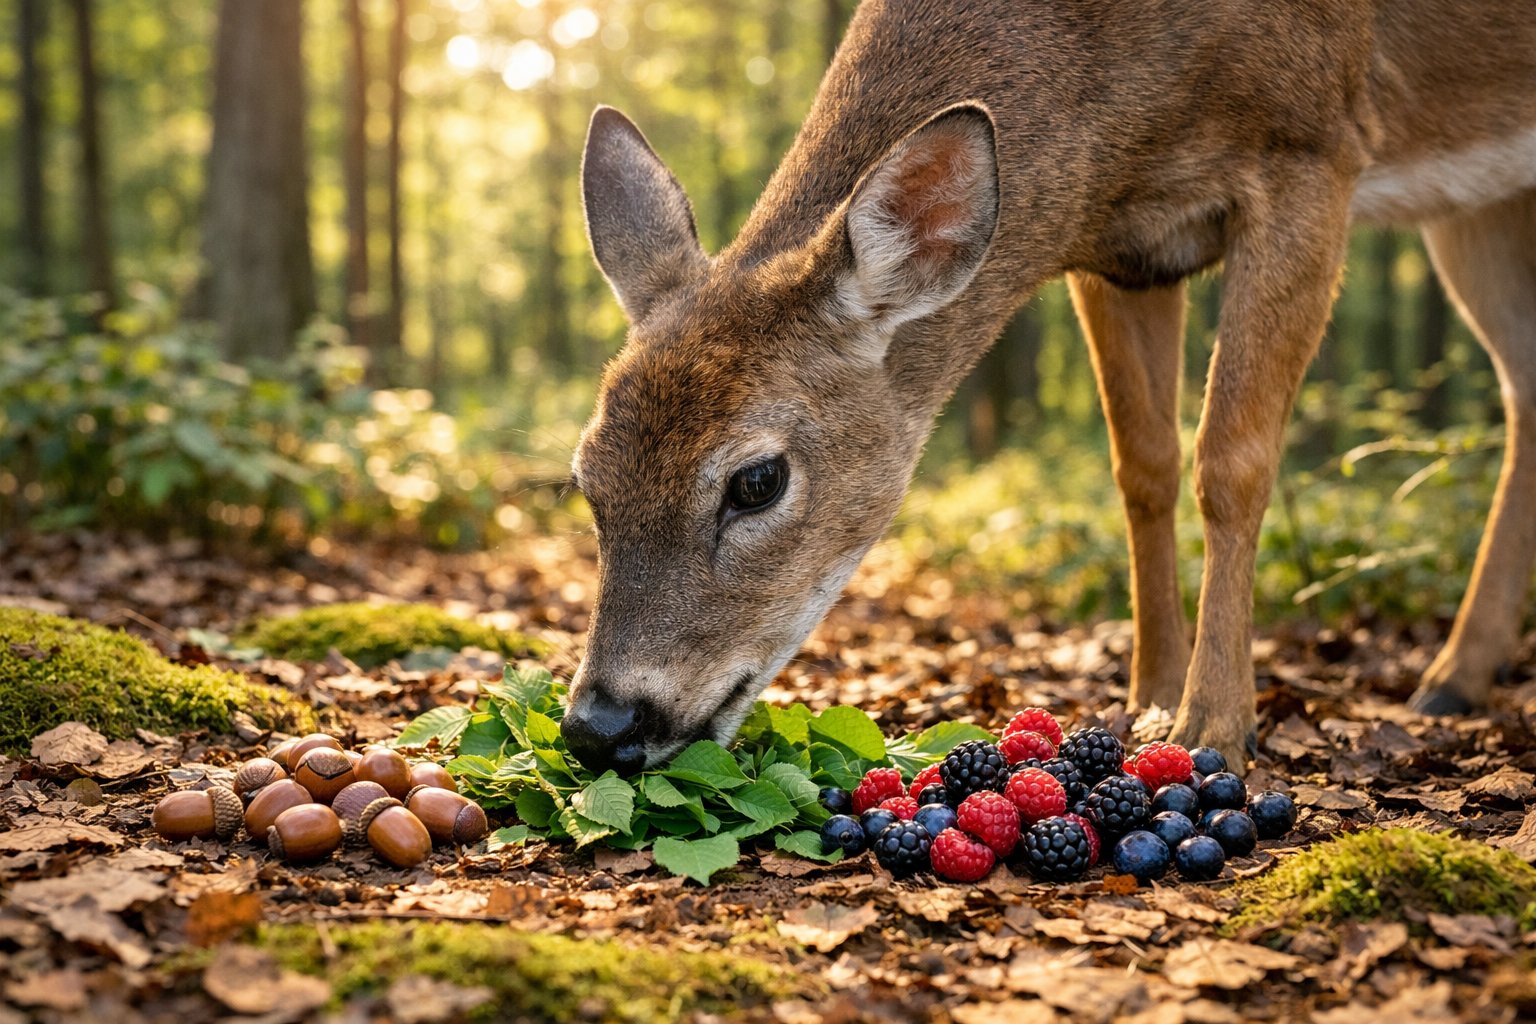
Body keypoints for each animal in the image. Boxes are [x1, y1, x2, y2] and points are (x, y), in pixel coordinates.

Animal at [558, 0, 1536, 776]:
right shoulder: (1121, 246)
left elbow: (1232, 461)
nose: (601, 725)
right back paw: (1455, 679)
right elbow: (1142, 467)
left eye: (757, 480)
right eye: (586, 478)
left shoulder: (1312, 143)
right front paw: (1145, 699)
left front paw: (1215, 727)